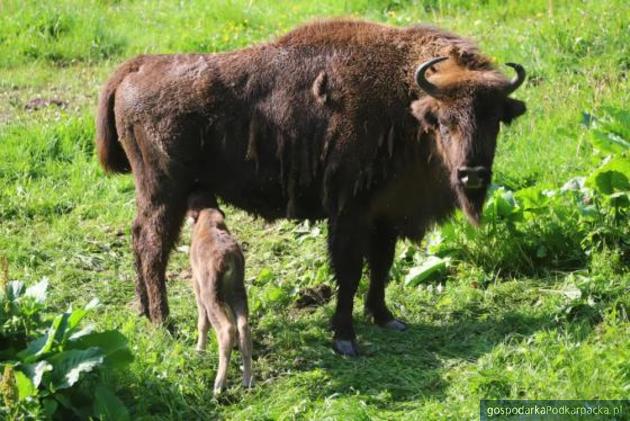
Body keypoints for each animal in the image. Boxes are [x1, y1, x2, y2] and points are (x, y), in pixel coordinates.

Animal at [95, 18, 528, 354]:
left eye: (494, 119)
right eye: (442, 121)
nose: (472, 174)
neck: (407, 97)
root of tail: (138, 66)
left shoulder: (385, 214)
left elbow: (381, 265)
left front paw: (386, 318)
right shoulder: (350, 213)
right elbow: (349, 271)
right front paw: (345, 338)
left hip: (155, 195)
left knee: (139, 239)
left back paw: (144, 312)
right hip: (164, 192)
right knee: (153, 248)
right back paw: (164, 324)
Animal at [188, 194, 254, 394]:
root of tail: (227, 259)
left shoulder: (198, 287)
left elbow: (202, 323)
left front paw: (199, 351)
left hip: (211, 297)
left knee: (226, 329)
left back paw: (218, 386)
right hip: (237, 292)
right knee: (242, 326)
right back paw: (247, 380)